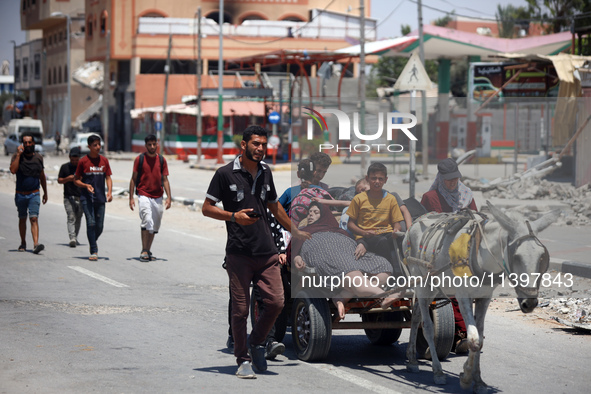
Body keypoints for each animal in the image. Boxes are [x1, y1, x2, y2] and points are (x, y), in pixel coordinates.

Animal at [402, 202, 560, 392]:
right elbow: (474, 339)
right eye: (516, 256)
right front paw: (466, 377)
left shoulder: (485, 297)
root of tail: (414, 223)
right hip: (420, 281)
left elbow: (481, 338)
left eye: (542, 257)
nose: (530, 302)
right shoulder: (463, 296)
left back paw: (412, 359)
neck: (478, 253)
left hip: (432, 286)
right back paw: (437, 371)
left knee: (416, 315)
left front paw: (478, 380)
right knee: (427, 327)